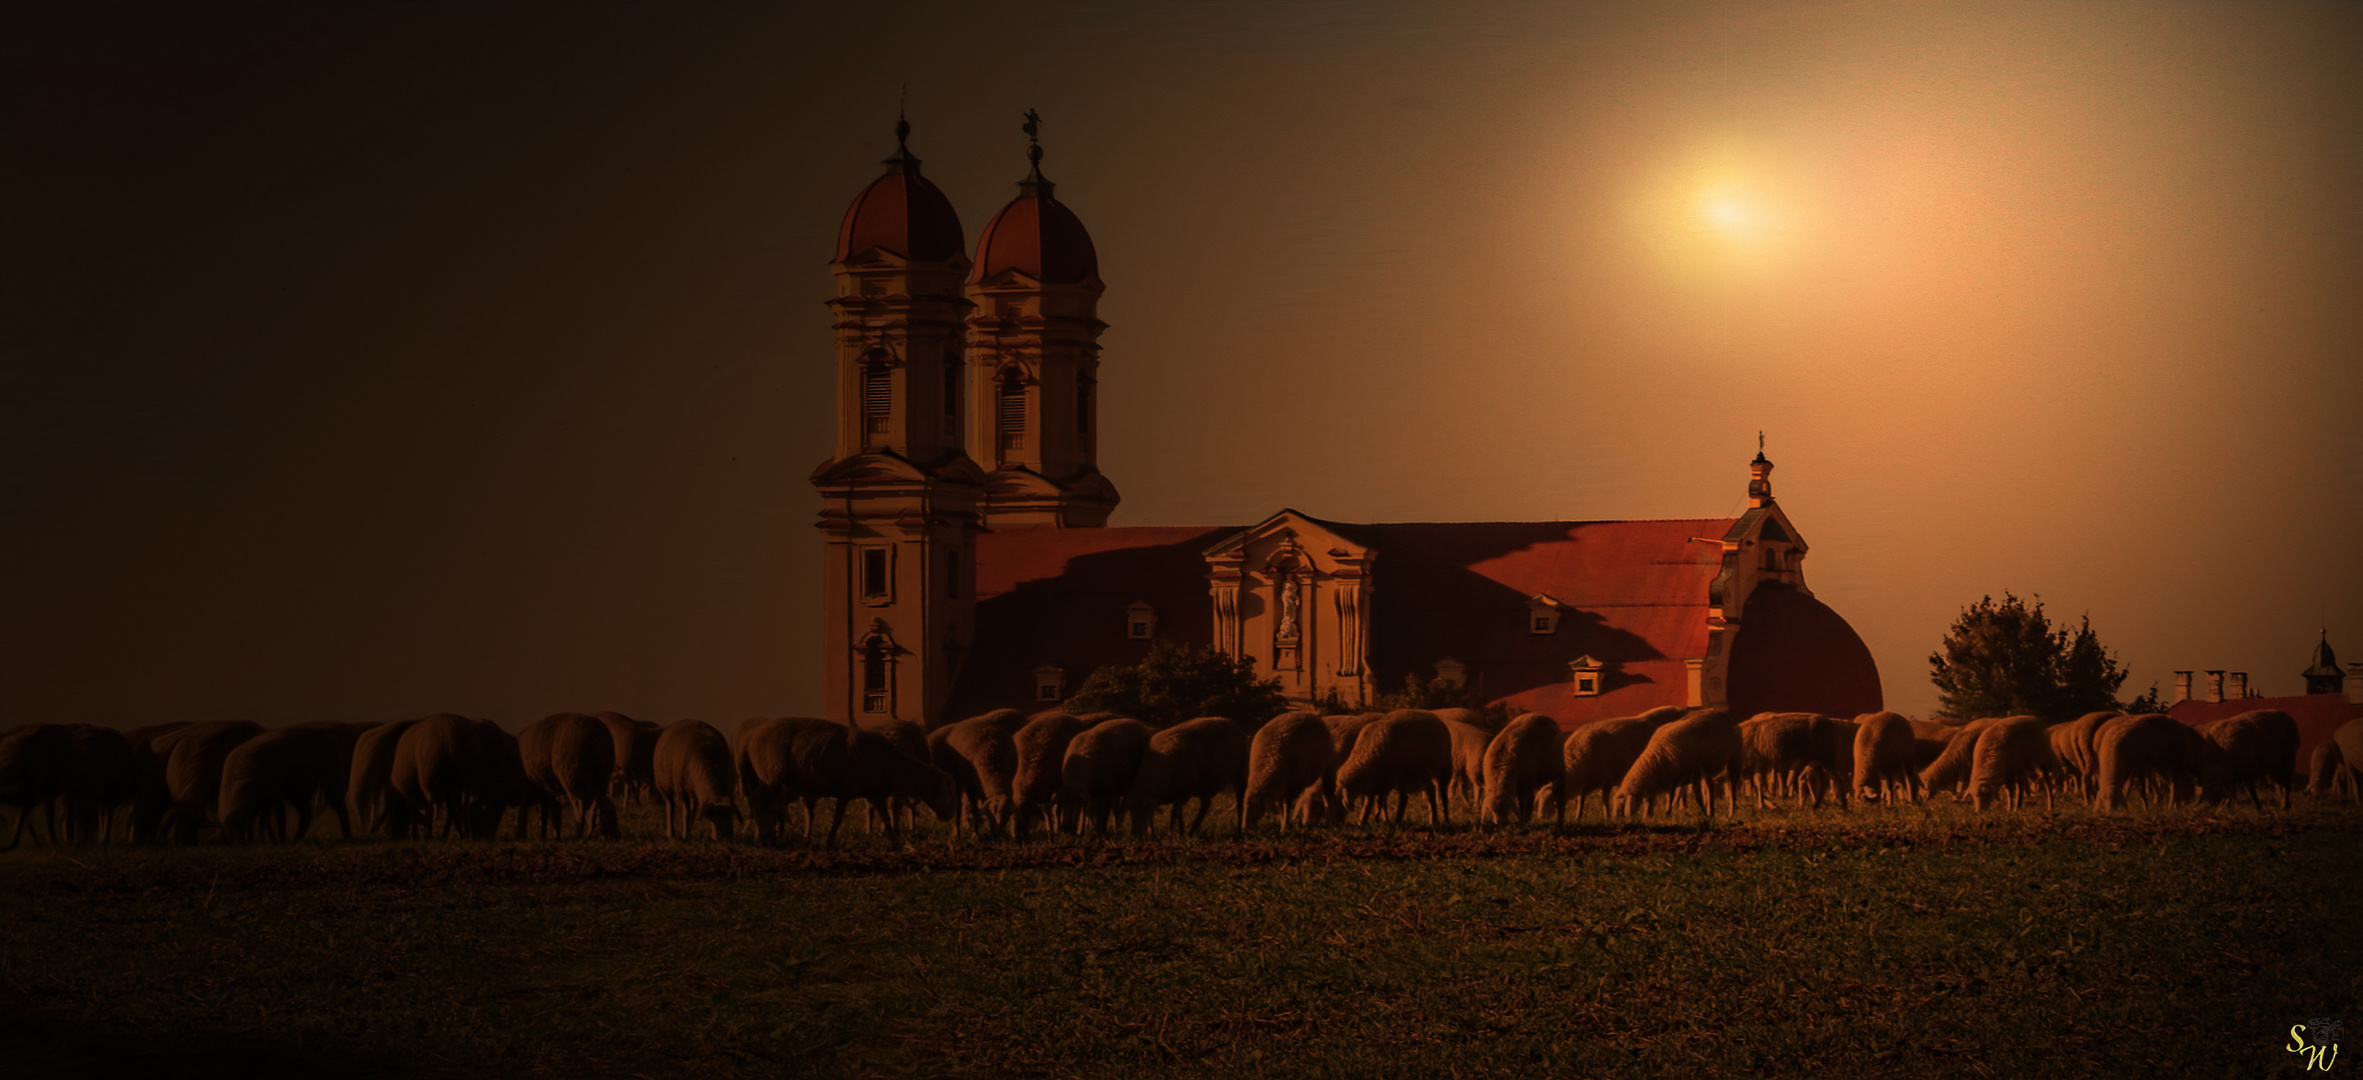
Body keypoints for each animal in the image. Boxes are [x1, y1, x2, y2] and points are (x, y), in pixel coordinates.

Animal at [1129, 713, 1257, 831]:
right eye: (1131, 813)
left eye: (1143, 812)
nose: (1137, 834)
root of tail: (1232, 724)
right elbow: (1177, 813)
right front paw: (1180, 831)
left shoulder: (1186, 790)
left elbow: (1175, 812)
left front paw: (1173, 831)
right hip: (1204, 784)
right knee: (1206, 804)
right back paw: (1193, 830)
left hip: (1240, 772)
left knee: (1240, 803)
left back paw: (1239, 831)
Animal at [1559, 704, 1691, 822]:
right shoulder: (1586, 782)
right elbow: (1581, 800)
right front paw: (1578, 816)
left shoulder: (1608, 778)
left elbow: (1604, 798)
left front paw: (1607, 816)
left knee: (1679, 788)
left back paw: (1678, 807)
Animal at [1616, 708, 1748, 817]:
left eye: (1622, 807)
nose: (1618, 820)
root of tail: (1720, 712)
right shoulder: (1681, 775)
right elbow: (1676, 797)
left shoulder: (1683, 774)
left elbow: (1675, 796)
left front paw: (1668, 814)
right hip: (1707, 768)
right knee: (1710, 788)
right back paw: (1710, 810)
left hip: (1733, 758)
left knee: (1732, 787)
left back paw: (1731, 812)